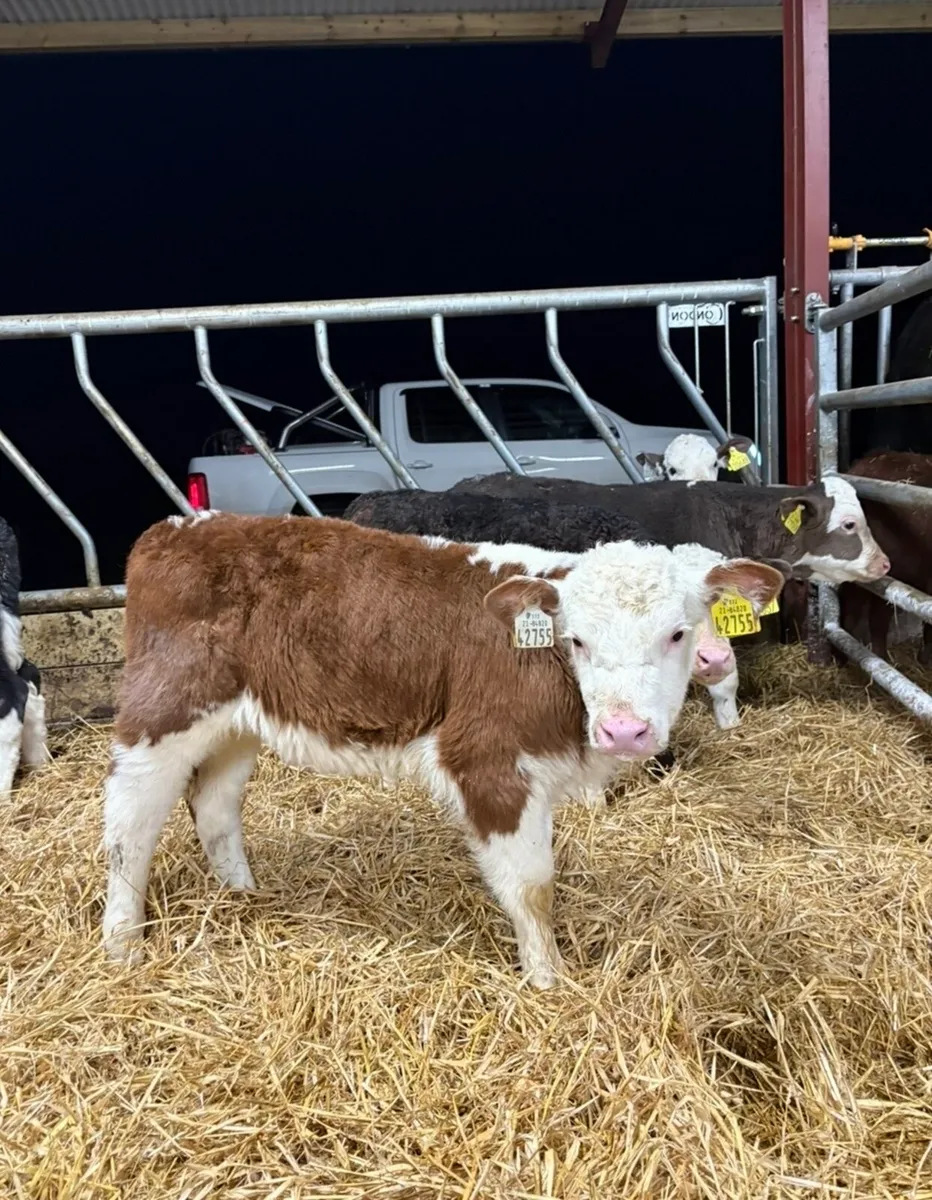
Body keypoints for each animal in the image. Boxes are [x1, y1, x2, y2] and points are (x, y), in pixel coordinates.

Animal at [101, 511, 783, 988]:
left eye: (677, 632)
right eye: (577, 639)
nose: (624, 731)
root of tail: (178, 526)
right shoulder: (486, 760)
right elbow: (532, 886)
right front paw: (550, 980)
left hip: (238, 721)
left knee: (215, 805)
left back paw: (245, 898)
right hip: (165, 708)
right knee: (129, 823)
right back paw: (121, 944)